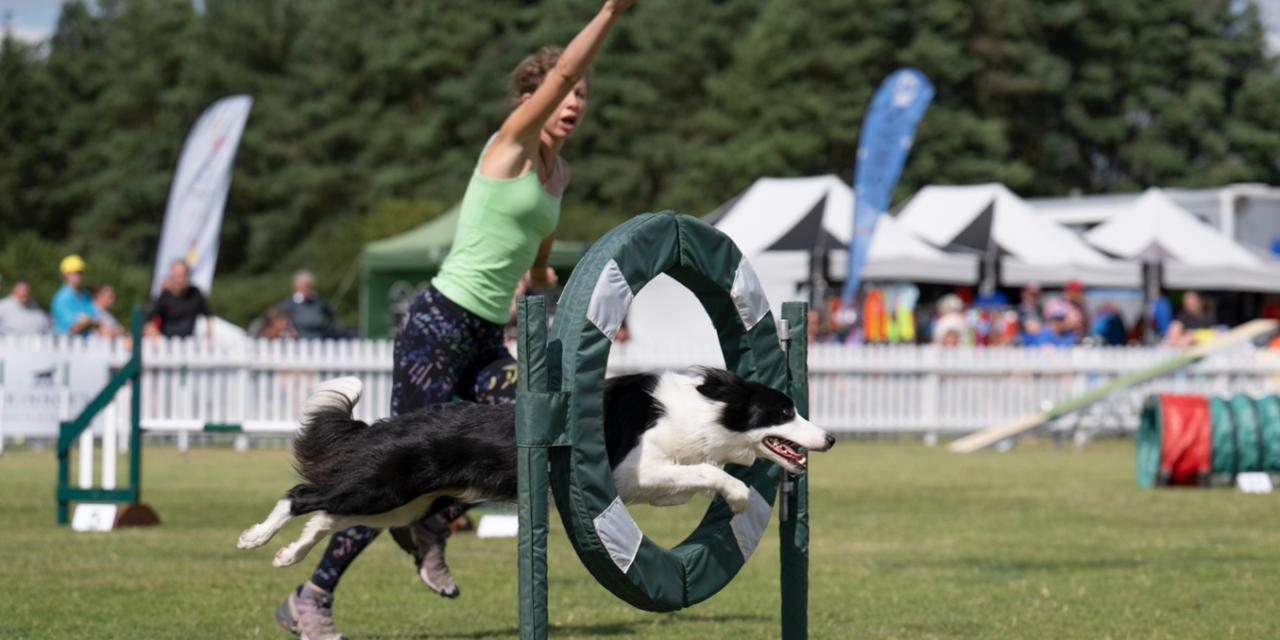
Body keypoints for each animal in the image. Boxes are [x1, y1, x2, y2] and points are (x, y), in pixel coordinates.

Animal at [240, 368, 834, 568]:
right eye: (785, 411)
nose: (829, 437)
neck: (706, 410)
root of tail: (384, 424)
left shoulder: (656, 485)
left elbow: (695, 476)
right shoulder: (632, 473)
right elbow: (711, 473)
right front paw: (736, 495)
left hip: (405, 505)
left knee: (328, 516)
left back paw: (289, 555)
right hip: (384, 486)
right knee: (302, 494)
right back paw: (255, 537)